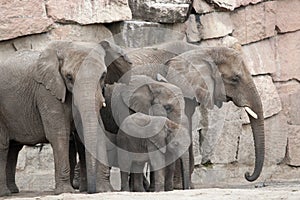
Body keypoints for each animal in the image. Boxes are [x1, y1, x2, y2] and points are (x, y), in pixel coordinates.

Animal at [0, 39, 132, 196]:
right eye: (69, 77)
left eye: (103, 76)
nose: (91, 191)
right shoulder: (46, 92)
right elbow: (59, 134)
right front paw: (65, 191)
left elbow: (97, 131)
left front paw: (105, 190)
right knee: (3, 145)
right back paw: (5, 193)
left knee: (13, 148)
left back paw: (12, 191)